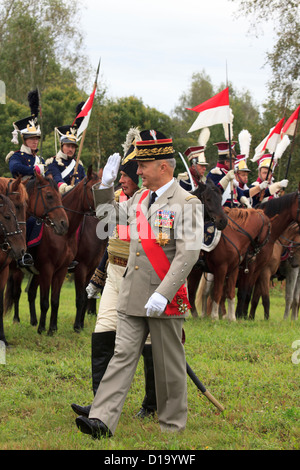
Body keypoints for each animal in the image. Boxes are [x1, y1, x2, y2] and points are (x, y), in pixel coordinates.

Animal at [236, 190, 300, 320]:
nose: (296, 261)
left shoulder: (259, 270)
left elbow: (252, 297)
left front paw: (248, 317)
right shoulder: (262, 271)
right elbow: (264, 298)